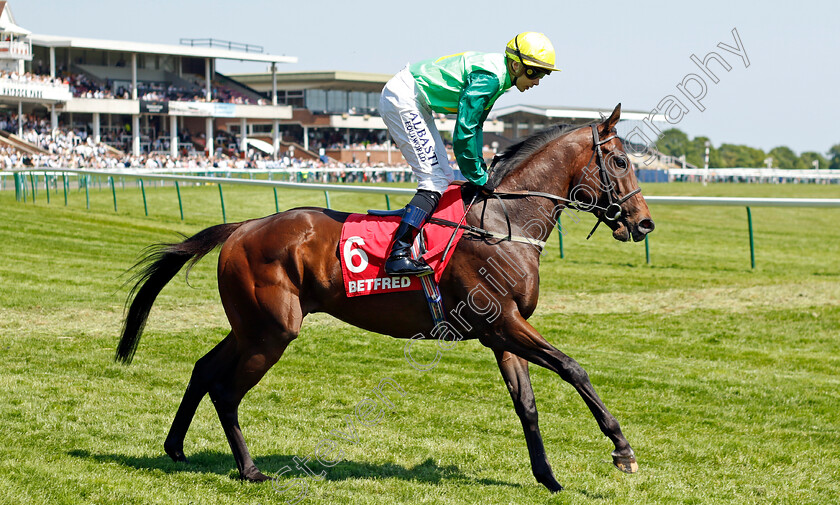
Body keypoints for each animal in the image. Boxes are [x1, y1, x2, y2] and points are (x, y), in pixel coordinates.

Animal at [116, 104, 656, 490]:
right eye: (621, 161)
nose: (644, 223)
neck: (505, 223)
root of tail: (242, 226)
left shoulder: (502, 333)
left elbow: (527, 405)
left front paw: (547, 476)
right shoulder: (502, 323)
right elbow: (573, 368)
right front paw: (622, 450)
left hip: (251, 326)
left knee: (203, 368)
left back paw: (175, 446)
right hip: (271, 331)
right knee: (226, 391)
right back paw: (249, 470)